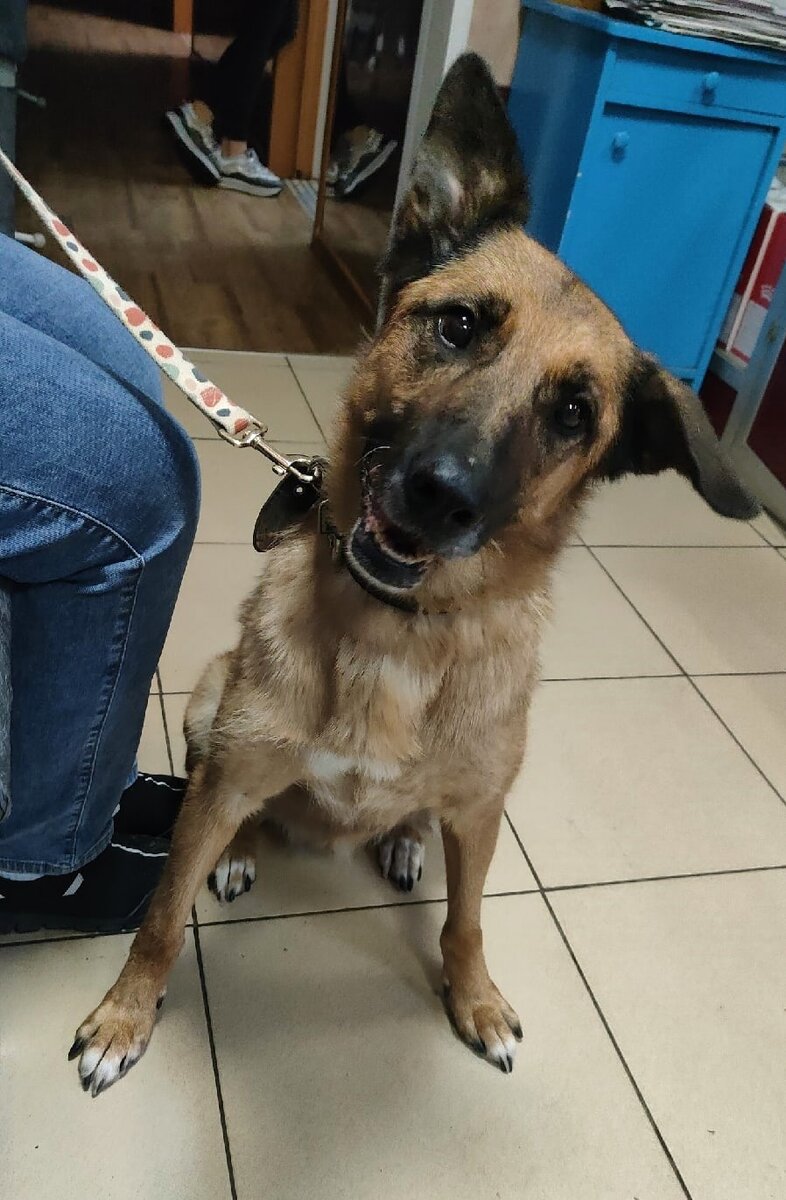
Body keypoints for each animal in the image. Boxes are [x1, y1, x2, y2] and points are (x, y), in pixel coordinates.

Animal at [69, 53, 757, 1096]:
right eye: (459, 324)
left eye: (574, 412)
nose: (442, 495)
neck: (397, 627)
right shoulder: (225, 777)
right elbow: (159, 918)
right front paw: (124, 1013)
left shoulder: (482, 810)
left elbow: (465, 921)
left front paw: (473, 998)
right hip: (208, 708)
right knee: (236, 803)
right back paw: (245, 850)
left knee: (415, 827)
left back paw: (397, 838)